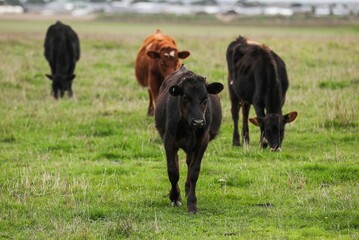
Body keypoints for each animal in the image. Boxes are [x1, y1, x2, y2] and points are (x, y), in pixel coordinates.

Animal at [155, 64, 224, 213]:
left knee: (188, 163)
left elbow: (194, 171)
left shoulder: (202, 142)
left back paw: (187, 190)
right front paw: (175, 197)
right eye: (185, 97)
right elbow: (173, 170)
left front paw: (192, 202)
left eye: (205, 98)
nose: (198, 122)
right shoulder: (169, 141)